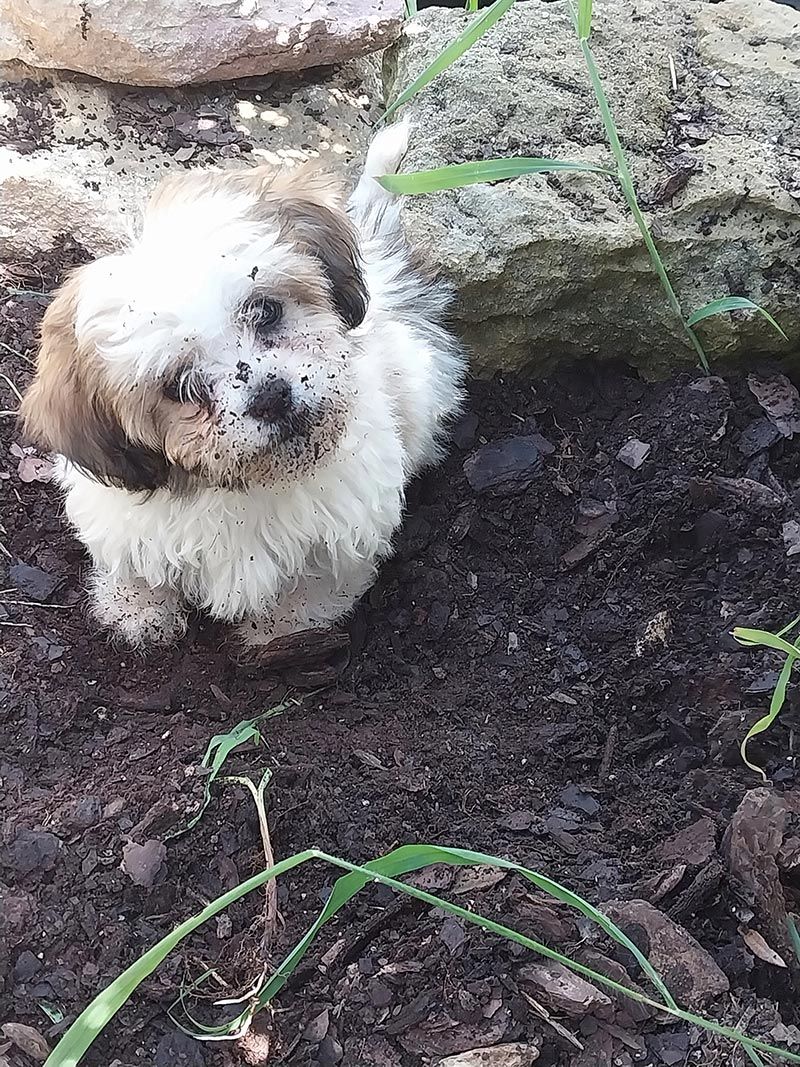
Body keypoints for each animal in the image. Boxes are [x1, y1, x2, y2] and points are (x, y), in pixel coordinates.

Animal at [17, 121, 469, 644]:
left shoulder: (344, 525)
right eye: (179, 386)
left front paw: (284, 631)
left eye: (266, 311)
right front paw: (137, 610)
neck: (244, 485)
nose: (271, 395)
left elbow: (315, 582)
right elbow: (134, 564)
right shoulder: (118, 515)